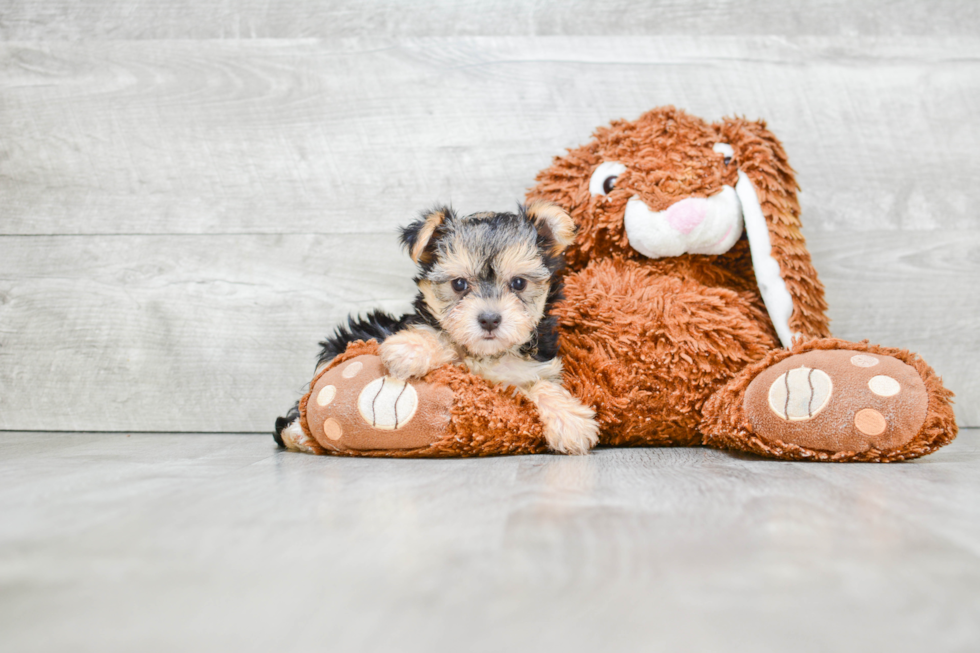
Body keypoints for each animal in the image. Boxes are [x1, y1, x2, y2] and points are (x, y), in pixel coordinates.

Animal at [272, 202, 600, 454]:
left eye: (519, 283)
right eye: (459, 284)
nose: (489, 319)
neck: (487, 355)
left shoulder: (535, 367)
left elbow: (542, 384)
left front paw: (570, 421)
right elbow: (441, 336)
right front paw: (409, 349)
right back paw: (299, 435)